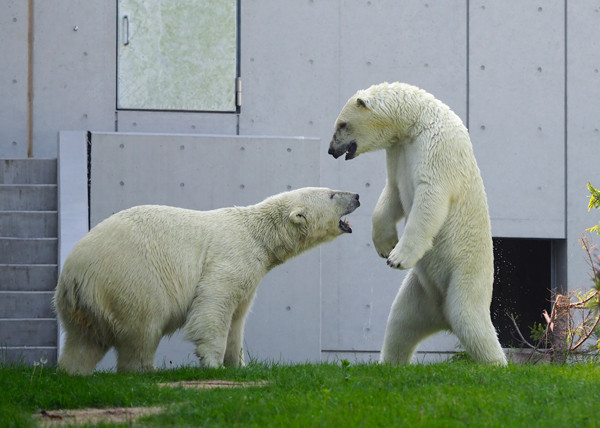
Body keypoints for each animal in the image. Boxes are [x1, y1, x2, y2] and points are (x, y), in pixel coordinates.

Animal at [54, 187, 358, 374]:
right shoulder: (230, 257)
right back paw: (145, 370)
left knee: (82, 342)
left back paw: (72, 371)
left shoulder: (250, 274)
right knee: (142, 329)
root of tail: (75, 275)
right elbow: (215, 306)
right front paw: (213, 363)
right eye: (332, 194)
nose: (356, 195)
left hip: (81, 306)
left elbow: (237, 319)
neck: (257, 234)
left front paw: (239, 365)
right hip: (131, 279)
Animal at [330, 82, 508, 366]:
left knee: (470, 320)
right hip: (420, 292)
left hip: (466, 275)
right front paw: (385, 246)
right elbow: (392, 192)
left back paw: (497, 365)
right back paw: (390, 363)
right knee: (400, 323)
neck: (416, 120)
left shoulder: (437, 147)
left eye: (342, 124)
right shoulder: (398, 151)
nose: (331, 150)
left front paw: (397, 257)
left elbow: (430, 197)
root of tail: (442, 317)